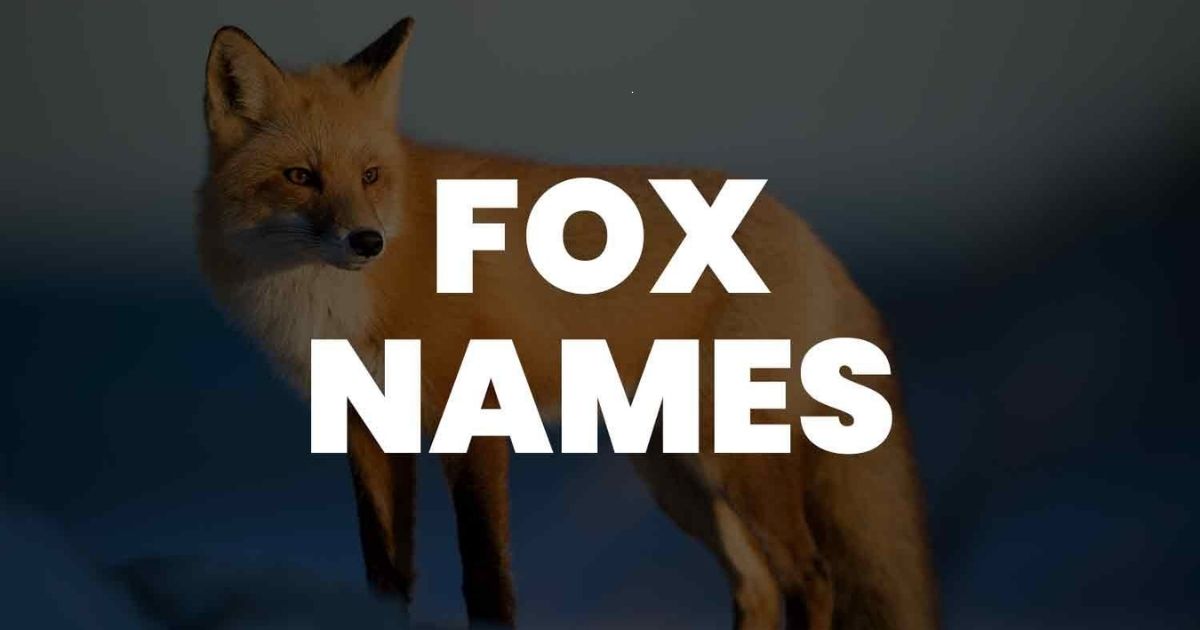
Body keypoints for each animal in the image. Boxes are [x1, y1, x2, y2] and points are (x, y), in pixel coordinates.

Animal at [197, 16, 937, 630]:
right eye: (301, 176)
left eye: (371, 175)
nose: (367, 242)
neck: (339, 307)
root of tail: (804, 228)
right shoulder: (369, 428)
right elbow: (385, 578)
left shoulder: (476, 416)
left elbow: (486, 578)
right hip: (678, 478)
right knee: (757, 588)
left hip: (732, 459)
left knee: (812, 578)